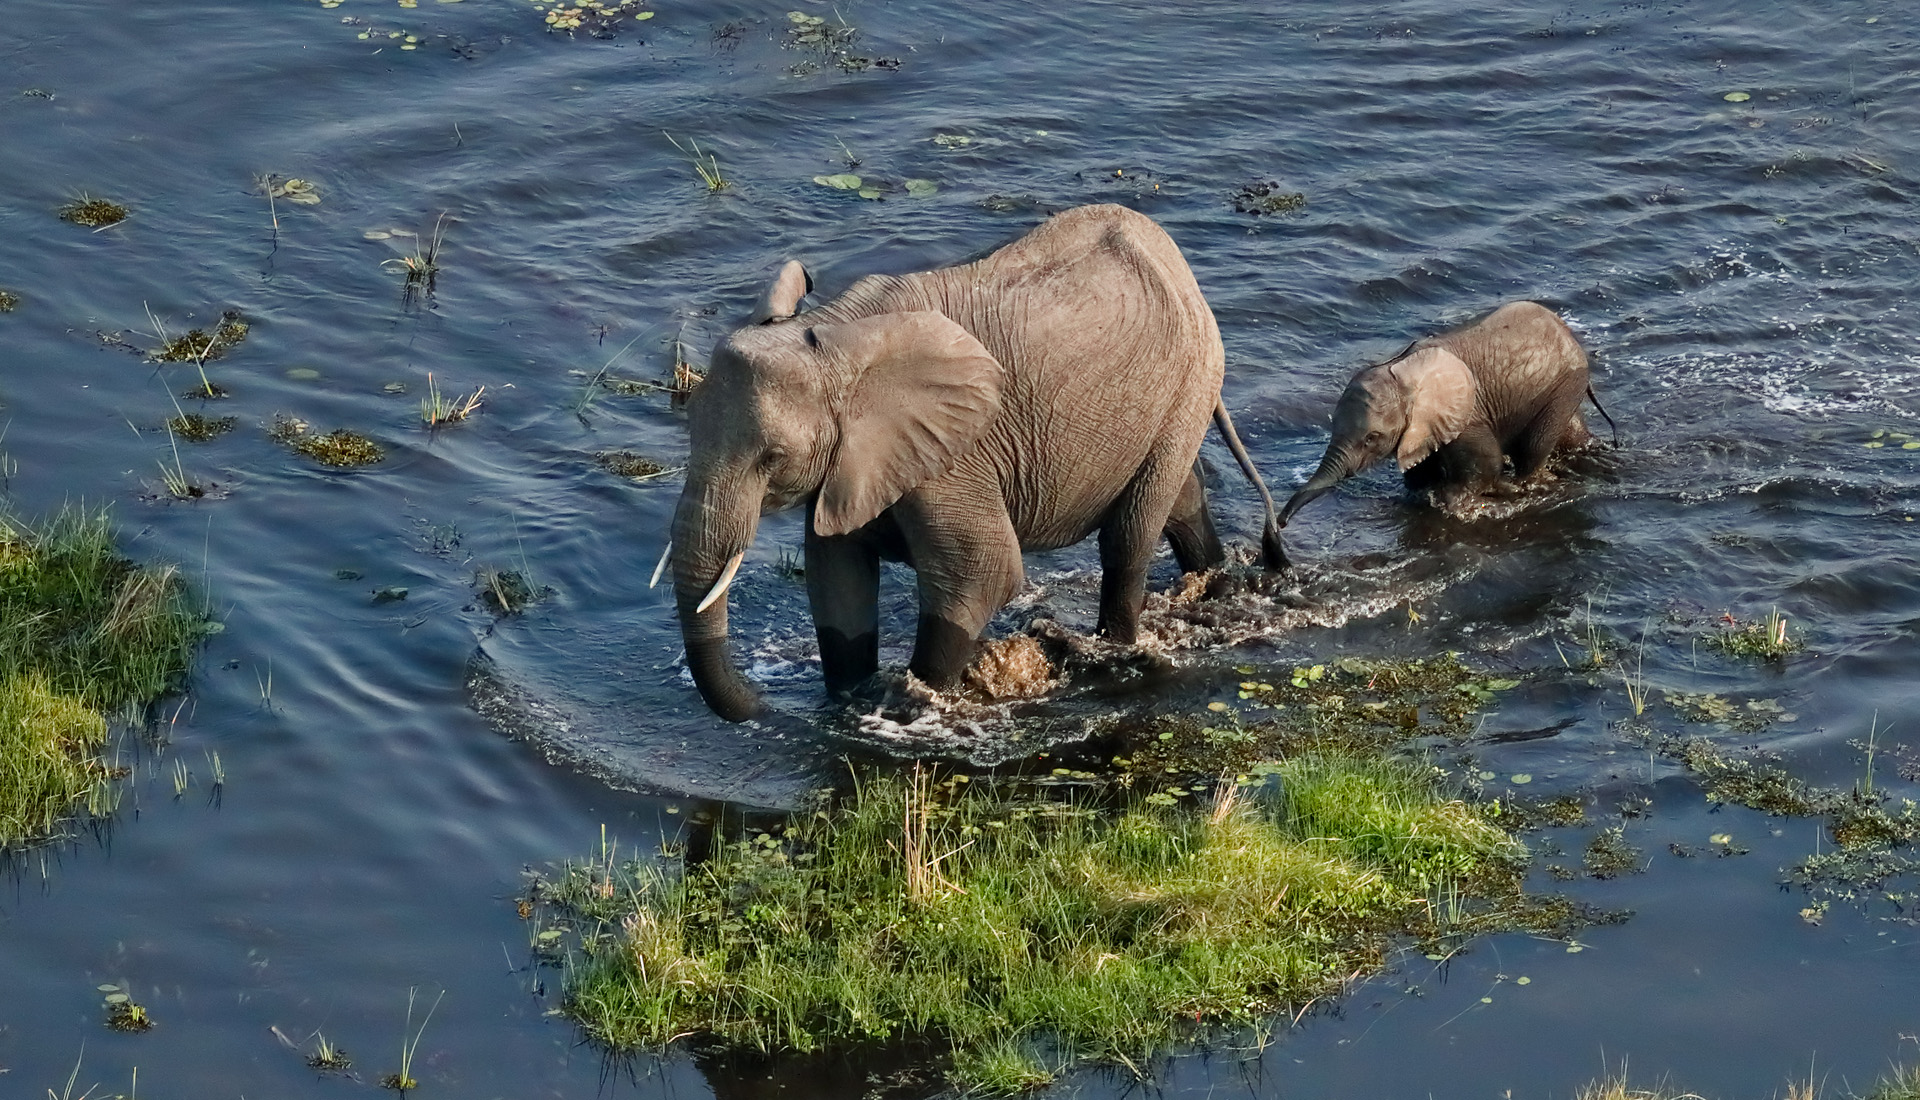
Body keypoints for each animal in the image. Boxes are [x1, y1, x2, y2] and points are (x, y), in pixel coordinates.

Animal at [657, 204, 1285, 722]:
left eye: (773, 457)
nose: (764, 706)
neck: (833, 333)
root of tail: (1178, 265)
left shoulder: (954, 456)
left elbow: (982, 574)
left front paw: (911, 706)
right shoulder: (856, 460)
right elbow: (836, 579)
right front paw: (847, 703)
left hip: (1191, 380)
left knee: (1129, 538)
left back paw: (1119, 646)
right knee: (1180, 499)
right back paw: (1218, 588)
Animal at [1277, 301, 1613, 532]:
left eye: (1371, 439)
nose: (1279, 524)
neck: (1400, 373)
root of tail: (1568, 333)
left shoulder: (1467, 417)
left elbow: (1486, 462)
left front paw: (1458, 503)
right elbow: (1420, 474)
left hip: (1563, 384)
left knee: (1533, 449)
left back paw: (1526, 483)